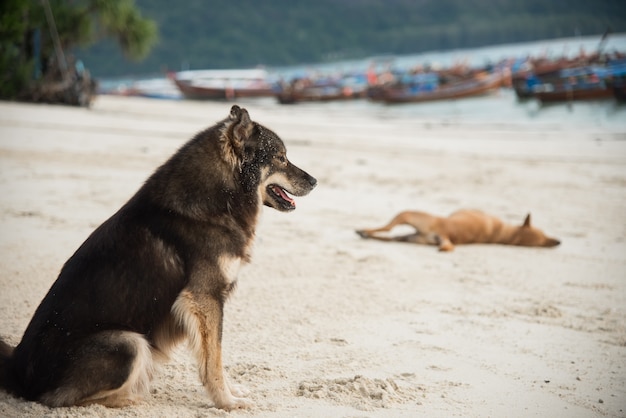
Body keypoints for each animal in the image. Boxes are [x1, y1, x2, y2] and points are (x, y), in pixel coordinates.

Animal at [0, 106, 312, 410]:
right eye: (281, 158)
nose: (315, 181)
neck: (221, 194)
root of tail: (16, 370)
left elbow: (215, 357)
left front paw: (231, 392)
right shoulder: (205, 296)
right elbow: (214, 358)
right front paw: (227, 402)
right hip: (129, 343)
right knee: (58, 399)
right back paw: (131, 397)